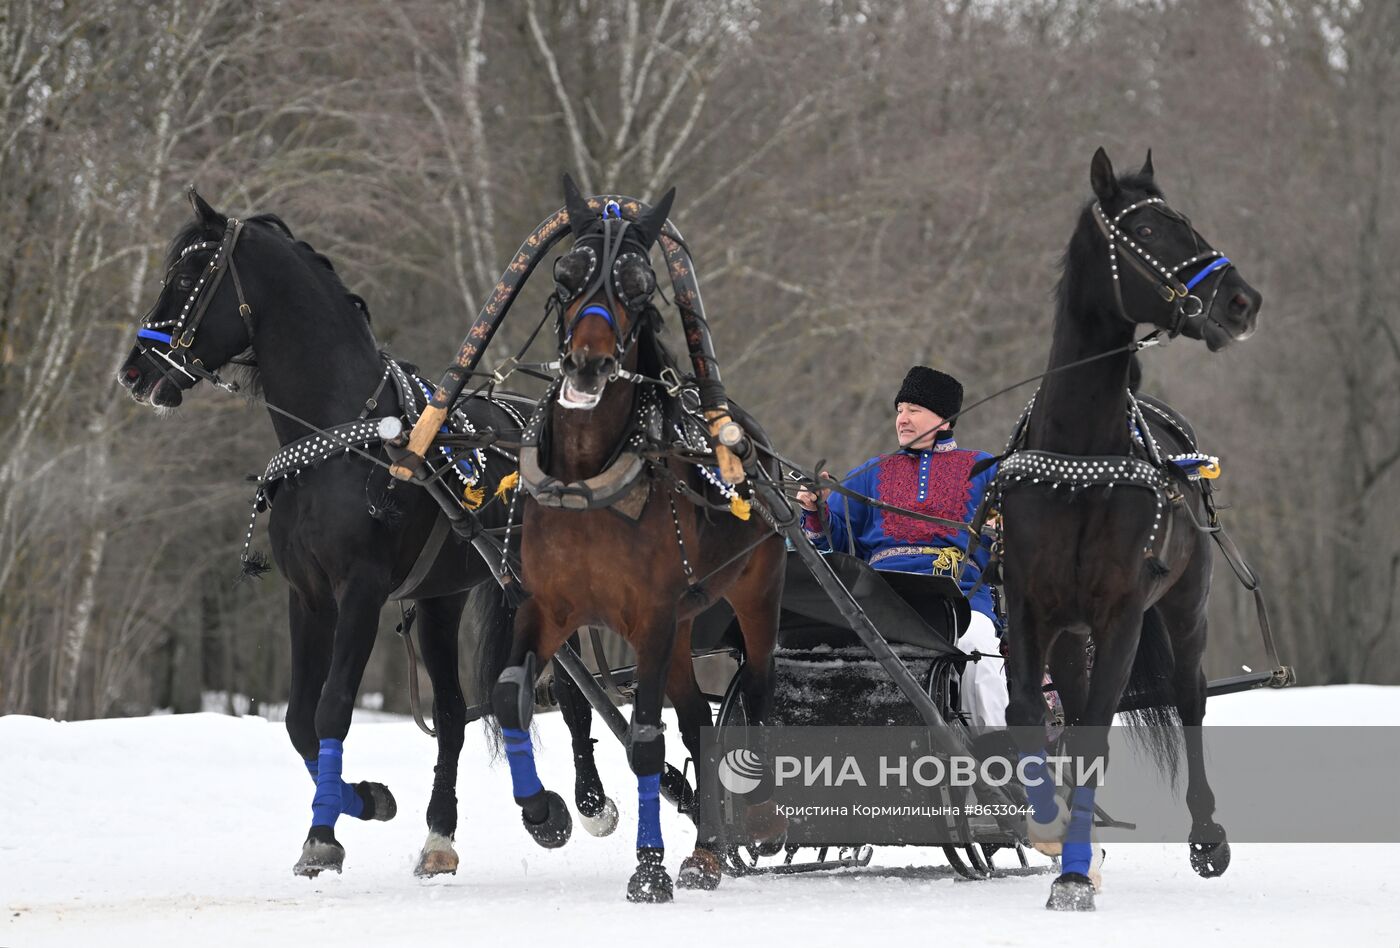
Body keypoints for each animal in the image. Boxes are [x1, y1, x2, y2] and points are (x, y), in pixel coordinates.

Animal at [120, 191, 618, 879]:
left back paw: (583, 804)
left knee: (565, 694)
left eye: (191, 273)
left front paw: (322, 835)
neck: (343, 443)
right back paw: (447, 834)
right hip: (444, 600)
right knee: (461, 710)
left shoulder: (361, 590)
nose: (135, 371)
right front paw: (364, 800)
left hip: (536, 590)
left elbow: (333, 707)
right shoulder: (308, 595)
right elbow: (300, 721)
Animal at [478, 177, 789, 901]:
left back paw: (755, 821)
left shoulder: (649, 615)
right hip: (681, 628)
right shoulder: (547, 608)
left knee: (758, 693)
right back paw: (706, 854)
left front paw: (648, 868)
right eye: (566, 274)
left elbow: (646, 737)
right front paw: (546, 813)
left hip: (754, 594)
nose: (589, 364)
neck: (592, 475)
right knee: (699, 723)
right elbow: (509, 695)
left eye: (642, 286)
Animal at [1002, 149, 1265, 907]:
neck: (1081, 453)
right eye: (1147, 229)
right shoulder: (1029, 608)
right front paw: (1052, 831)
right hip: (1072, 632)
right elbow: (1031, 715)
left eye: (1188, 220)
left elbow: (1094, 736)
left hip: (1185, 606)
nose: (1242, 302)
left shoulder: (1121, 612)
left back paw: (1206, 836)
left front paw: (1072, 874)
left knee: (1189, 697)